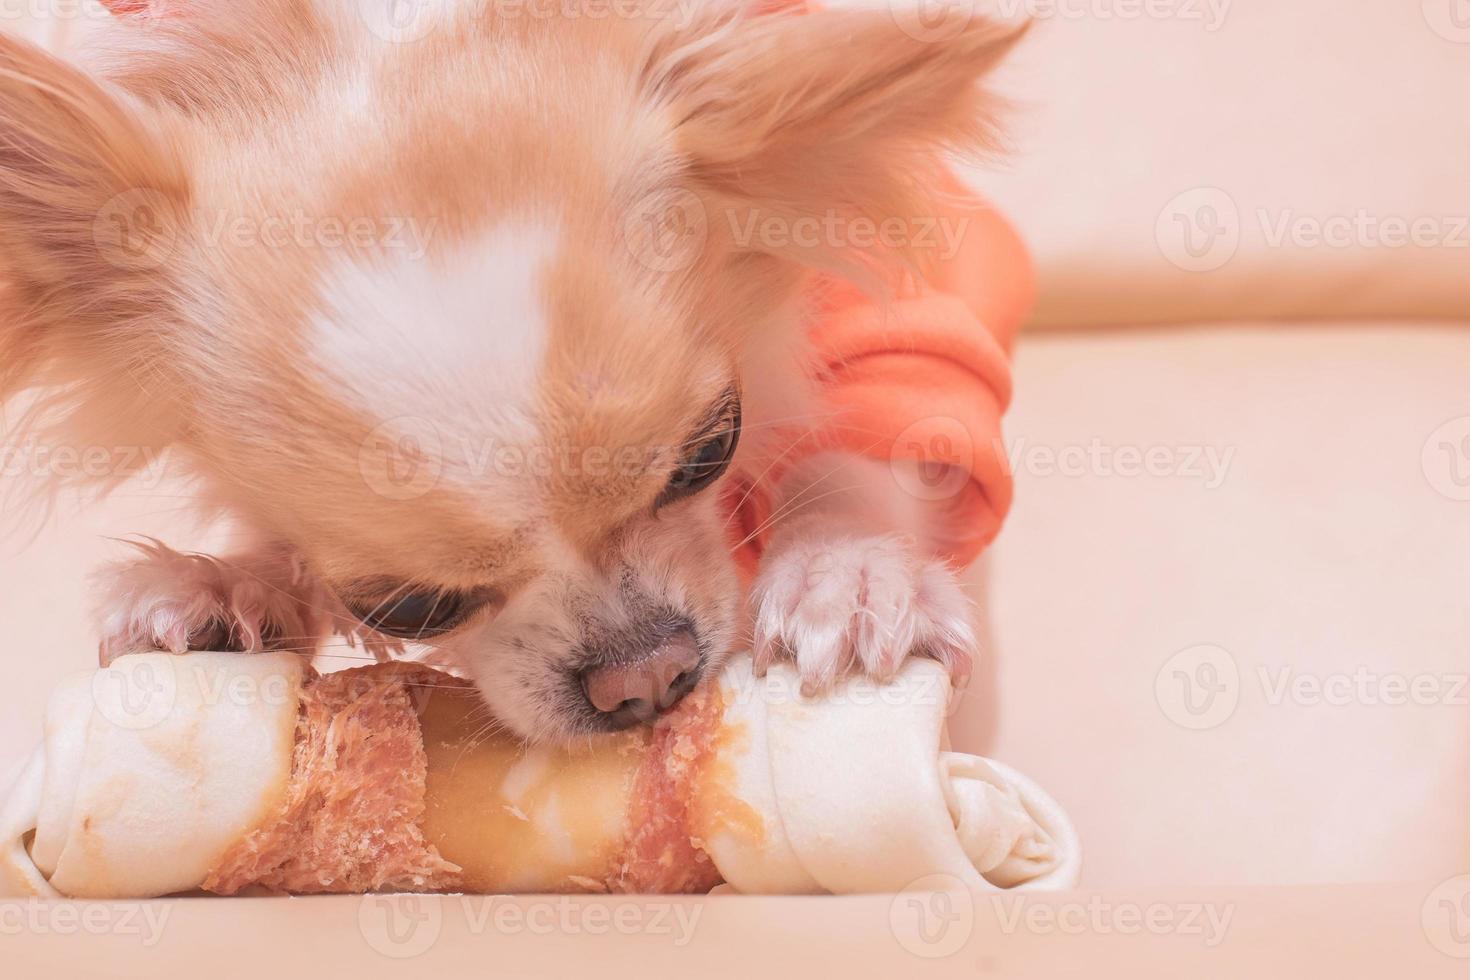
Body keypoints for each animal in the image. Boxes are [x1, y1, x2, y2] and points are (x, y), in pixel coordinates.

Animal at [0, 0, 1029, 740]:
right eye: (408, 607)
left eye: (710, 452)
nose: (646, 673)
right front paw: (234, 581)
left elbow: (869, 408)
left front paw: (847, 568)